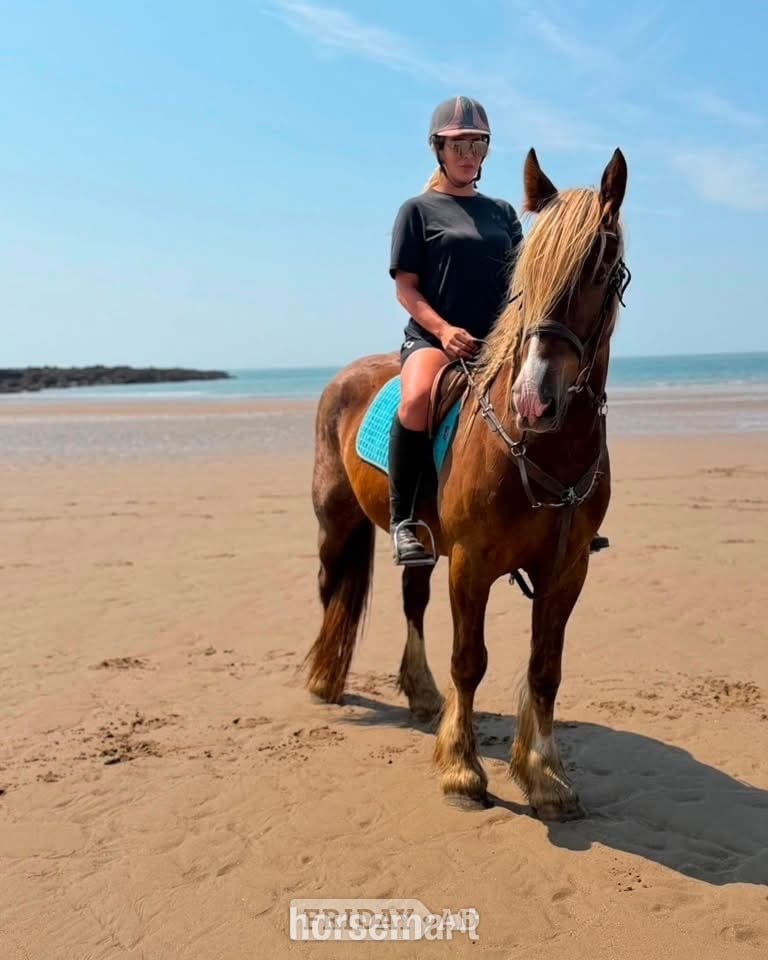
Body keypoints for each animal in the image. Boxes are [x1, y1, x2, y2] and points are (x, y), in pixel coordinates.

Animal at [304, 147, 630, 821]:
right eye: (527, 272)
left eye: (602, 266)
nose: (535, 400)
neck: (541, 448)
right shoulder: (472, 563)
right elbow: (469, 661)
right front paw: (461, 769)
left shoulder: (567, 569)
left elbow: (544, 669)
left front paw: (544, 776)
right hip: (335, 522)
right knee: (331, 591)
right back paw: (325, 679)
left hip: (421, 544)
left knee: (411, 603)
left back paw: (422, 695)